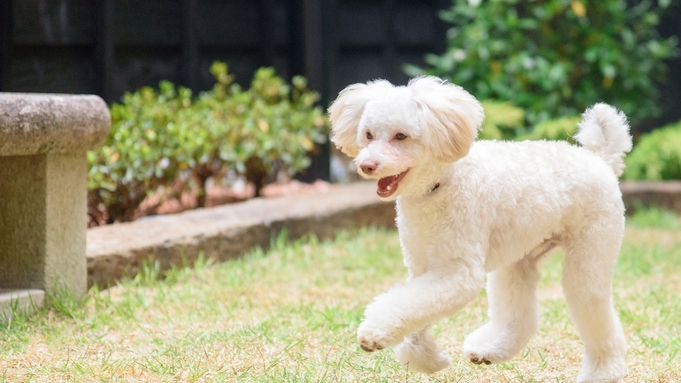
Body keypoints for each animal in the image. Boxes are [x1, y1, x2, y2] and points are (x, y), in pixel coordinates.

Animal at [326, 76, 628, 382]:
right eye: (368, 135)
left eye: (401, 136)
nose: (366, 165)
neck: (440, 184)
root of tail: (600, 159)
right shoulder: (423, 268)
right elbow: (413, 306)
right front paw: (426, 358)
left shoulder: (459, 272)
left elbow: (407, 304)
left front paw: (375, 333)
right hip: (520, 258)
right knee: (519, 314)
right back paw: (490, 349)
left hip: (589, 254)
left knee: (593, 306)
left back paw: (604, 371)